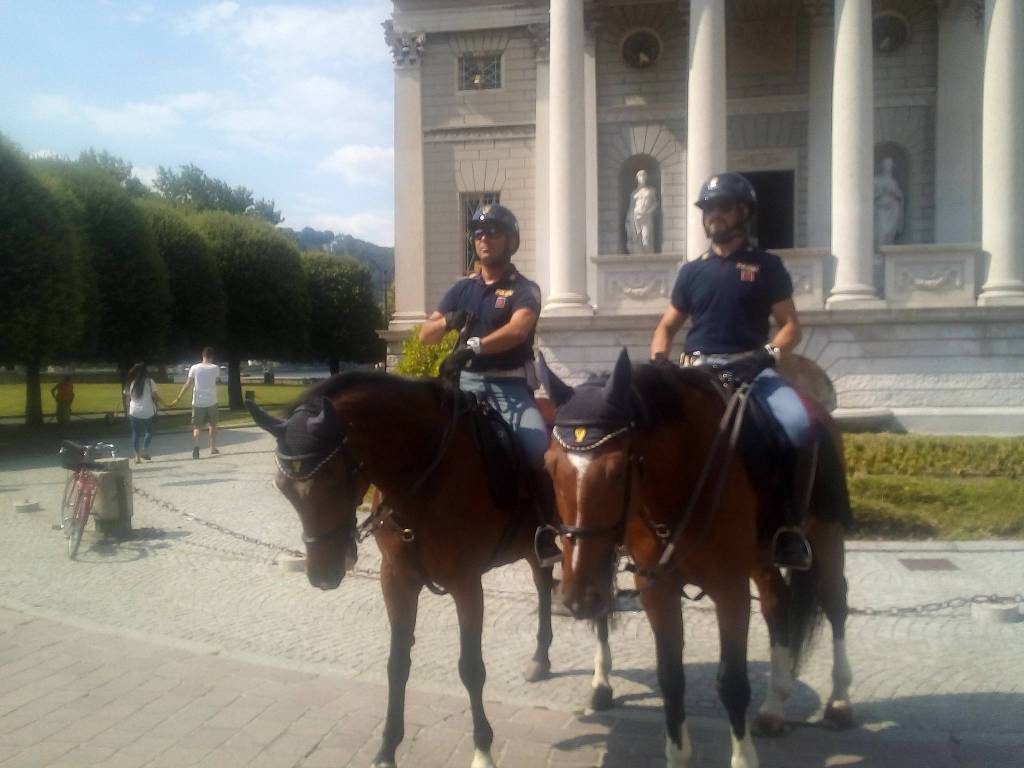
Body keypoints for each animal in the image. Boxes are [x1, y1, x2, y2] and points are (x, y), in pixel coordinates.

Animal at [247, 372, 606, 768]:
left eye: (333, 480)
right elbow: (397, 664)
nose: (323, 575)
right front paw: (387, 750)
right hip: (533, 546)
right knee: (543, 584)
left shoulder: (467, 584)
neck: (425, 473)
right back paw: (541, 658)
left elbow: (471, 668)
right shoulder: (396, 580)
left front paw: (483, 750)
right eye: (283, 487)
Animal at [540, 354, 851, 768]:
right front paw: (678, 753)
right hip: (762, 556)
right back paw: (774, 705)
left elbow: (732, 682)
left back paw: (839, 701)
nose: (578, 598)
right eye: (549, 465)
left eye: (618, 469)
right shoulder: (657, 589)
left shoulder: (730, 590)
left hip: (826, 534)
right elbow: (671, 676)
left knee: (835, 602)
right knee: (776, 603)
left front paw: (743, 759)